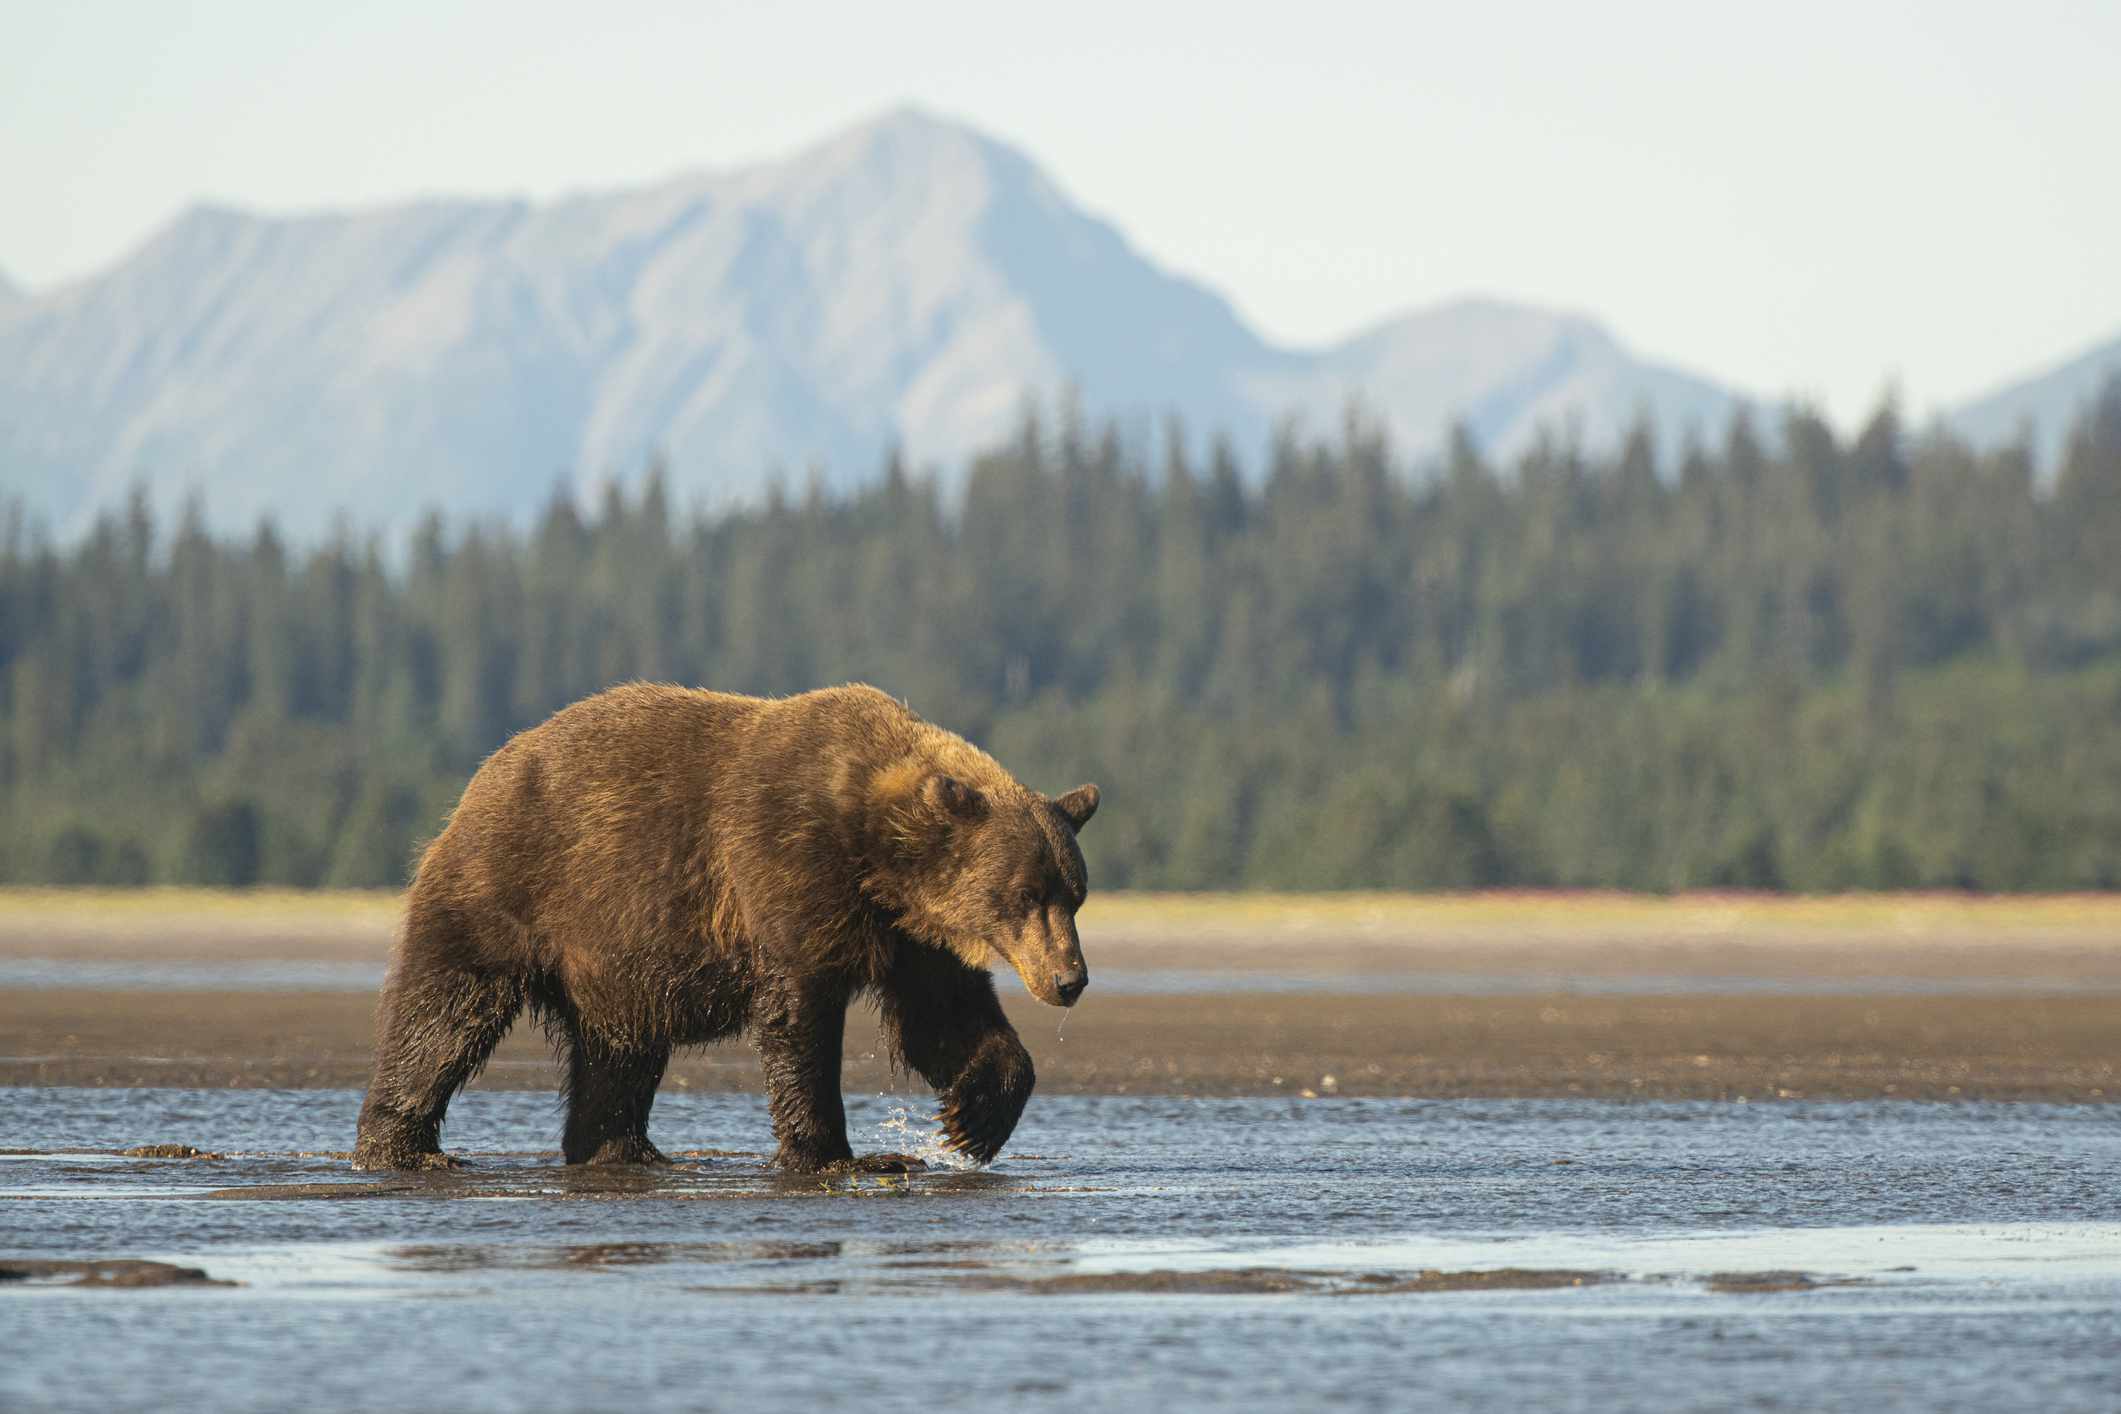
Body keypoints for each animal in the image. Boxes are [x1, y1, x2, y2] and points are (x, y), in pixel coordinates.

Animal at [345, 682, 1094, 1170]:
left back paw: (623, 1148)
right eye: (1025, 893)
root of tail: (486, 772)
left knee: (619, 1051)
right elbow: (799, 1019)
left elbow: (944, 1018)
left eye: (1075, 894)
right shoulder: (786, 866)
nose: (1070, 979)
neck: (874, 850)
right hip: (512, 886)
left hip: (616, 959)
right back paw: (404, 1149)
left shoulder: (907, 933)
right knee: (444, 1012)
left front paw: (972, 1119)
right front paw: (838, 1154)